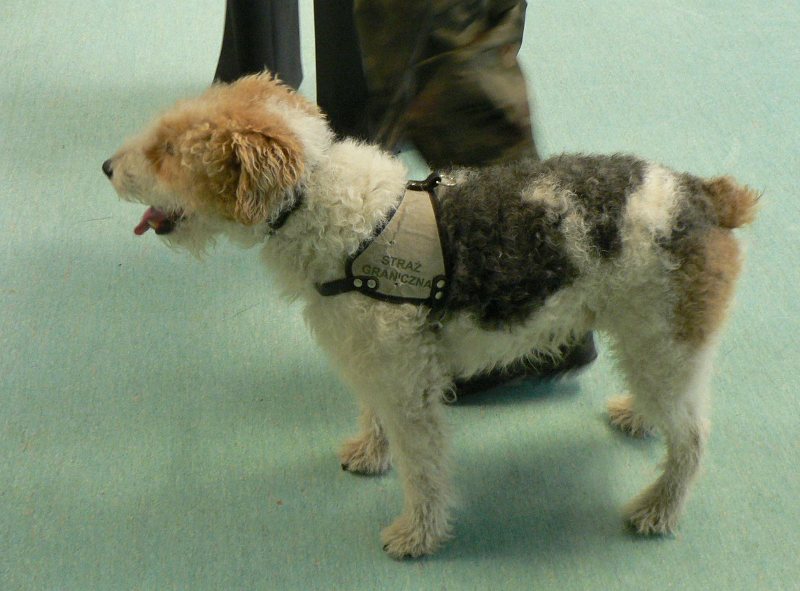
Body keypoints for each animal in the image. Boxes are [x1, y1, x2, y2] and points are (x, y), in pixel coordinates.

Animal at [103, 73, 757, 558]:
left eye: (167, 150)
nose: (107, 167)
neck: (332, 212)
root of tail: (706, 195)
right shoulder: (376, 362)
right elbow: (375, 419)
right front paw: (370, 455)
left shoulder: (409, 385)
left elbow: (423, 471)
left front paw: (416, 536)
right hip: (650, 343)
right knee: (671, 413)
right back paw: (636, 417)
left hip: (665, 340)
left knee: (693, 439)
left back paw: (657, 510)